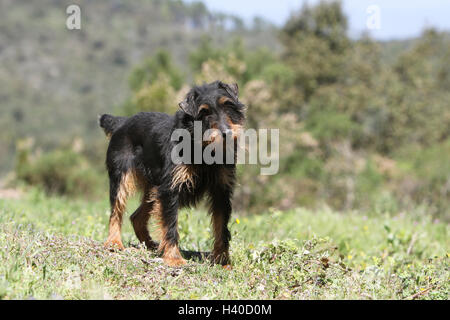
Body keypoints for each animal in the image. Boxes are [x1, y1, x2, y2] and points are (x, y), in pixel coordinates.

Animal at [99, 81, 246, 266]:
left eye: (228, 105)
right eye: (204, 112)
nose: (226, 133)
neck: (201, 146)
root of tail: (121, 122)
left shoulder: (221, 190)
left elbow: (221, 227)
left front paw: (222, 260)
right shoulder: (170, 188)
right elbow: (170, 224)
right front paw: (174, 257)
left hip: (153, 189)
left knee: (136, 217)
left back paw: (151, 245)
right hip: (122, 178)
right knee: (116, 210)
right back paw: (114, 242)